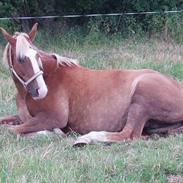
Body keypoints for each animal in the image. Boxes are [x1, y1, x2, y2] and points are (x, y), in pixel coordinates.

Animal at [0, 23, 183, 146]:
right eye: (21, 59)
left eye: (37, 56)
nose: (41, 91)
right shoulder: (25, 117)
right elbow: (7, 123)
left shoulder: (54, 117)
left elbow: (11, 131)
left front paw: (53, 133)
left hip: (141, 101)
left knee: (128, 134)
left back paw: (85, 138)